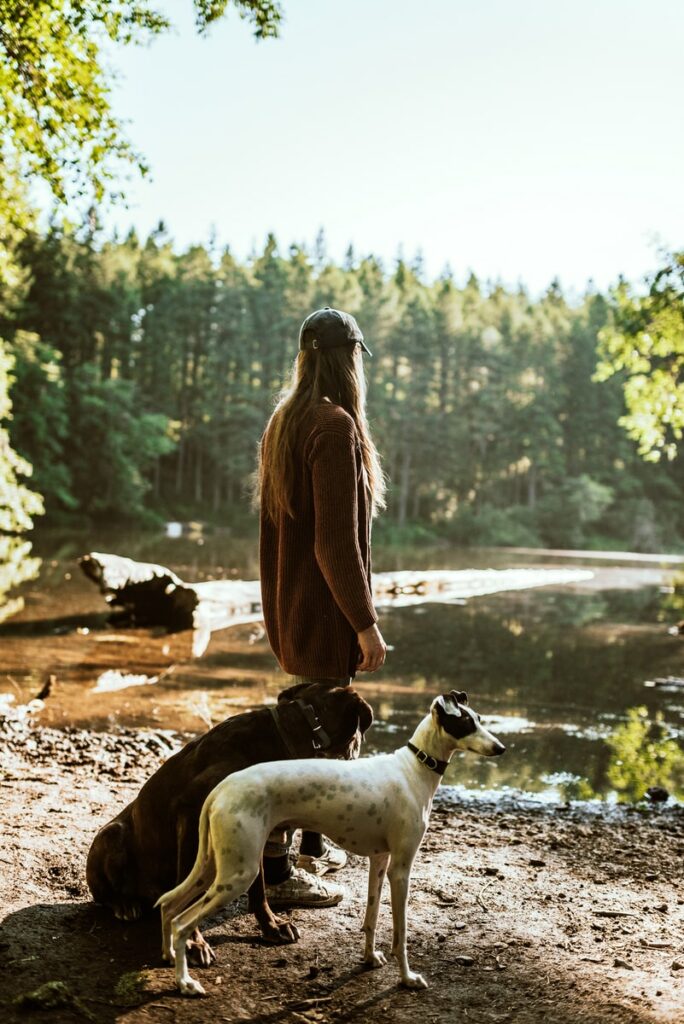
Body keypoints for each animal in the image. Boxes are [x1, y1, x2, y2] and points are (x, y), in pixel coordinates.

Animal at [88, 679, 374, 958]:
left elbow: (258, 889)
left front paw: (271, 925)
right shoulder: (191, 816)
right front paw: (193, 943)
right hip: (111, 835)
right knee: (105, 894)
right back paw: (125, 904)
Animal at [157, 692, 505, 995]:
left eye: (479, 719)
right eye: (466, 723)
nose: (501, 748)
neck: (413, 768)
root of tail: (221, 788)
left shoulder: (380, 861)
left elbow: (371, 916)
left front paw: (370, 958)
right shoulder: (401, 869)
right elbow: (401, 933)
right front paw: (407, 978)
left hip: (214, 866)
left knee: (169, 906)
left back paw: (170, 957)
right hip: (237, 874)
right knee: (182, 922)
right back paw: (186, 984)